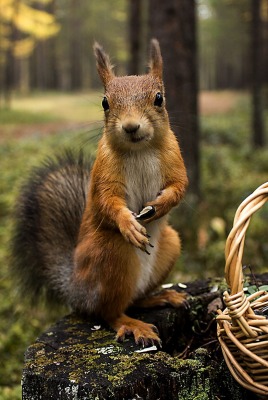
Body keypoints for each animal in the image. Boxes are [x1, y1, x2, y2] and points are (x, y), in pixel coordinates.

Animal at [11, 41, 188, 346]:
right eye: (105, 102)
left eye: (159, 98)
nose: (131, 126)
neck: (140, 150)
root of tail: (76, 290)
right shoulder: (104, 173)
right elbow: (107, 201)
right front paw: (129, 224)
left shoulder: (175, 159)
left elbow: (179, 186)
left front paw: (160, 205)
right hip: (110, 254)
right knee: (109, 312)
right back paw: (133, 324)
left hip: (170, 245)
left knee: (134, 299)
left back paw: (161, 297)